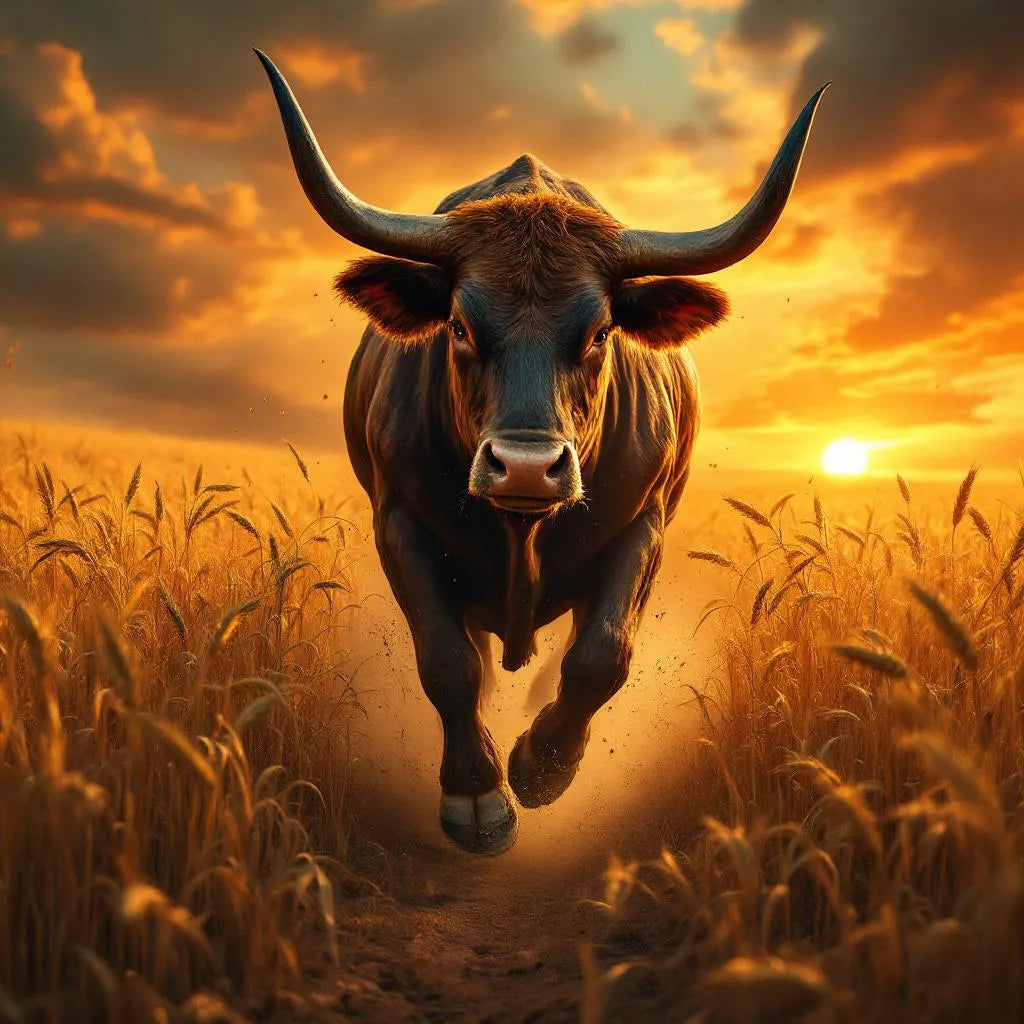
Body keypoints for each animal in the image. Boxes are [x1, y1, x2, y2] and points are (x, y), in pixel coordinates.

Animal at [256, 50, 826, 855]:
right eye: (459, 325)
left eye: (601, 331)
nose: (526, 466)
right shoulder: (399, 524)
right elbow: (449, 662)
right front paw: (477, 795)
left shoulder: (643, 527)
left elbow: (600, 657)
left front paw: (542, 765)